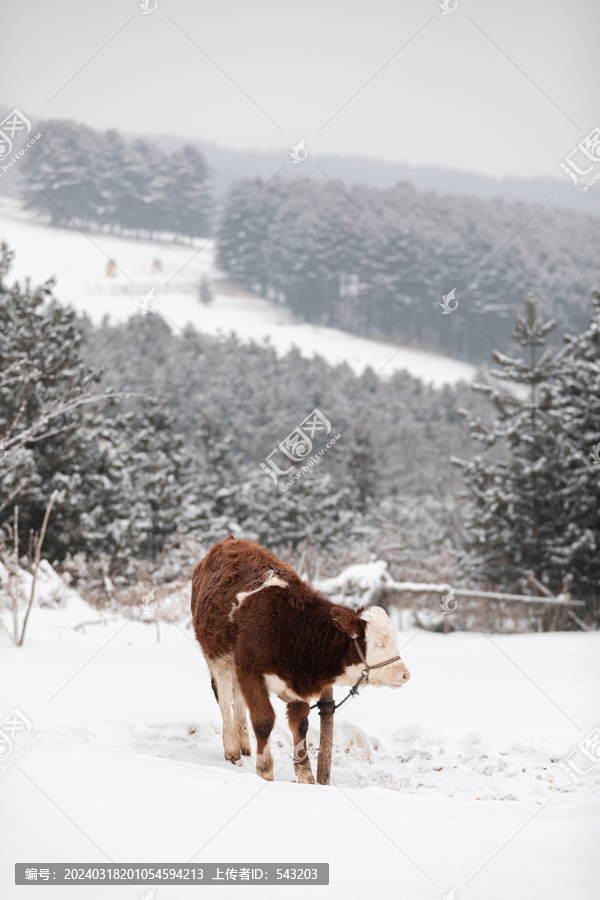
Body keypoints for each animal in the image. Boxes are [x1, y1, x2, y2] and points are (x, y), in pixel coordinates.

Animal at [190, 536, 410, 784]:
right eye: (379, 644)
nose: (405, 674)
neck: (290, 627)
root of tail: (229, 541)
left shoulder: (296, 684)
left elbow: (300, 726)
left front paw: (306, 777)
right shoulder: (251, 673)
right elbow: (264, 721)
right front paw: (264, 771)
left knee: (238, 701)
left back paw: (244, 745)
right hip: (217, 658)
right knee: (224, 697)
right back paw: (232, 749)